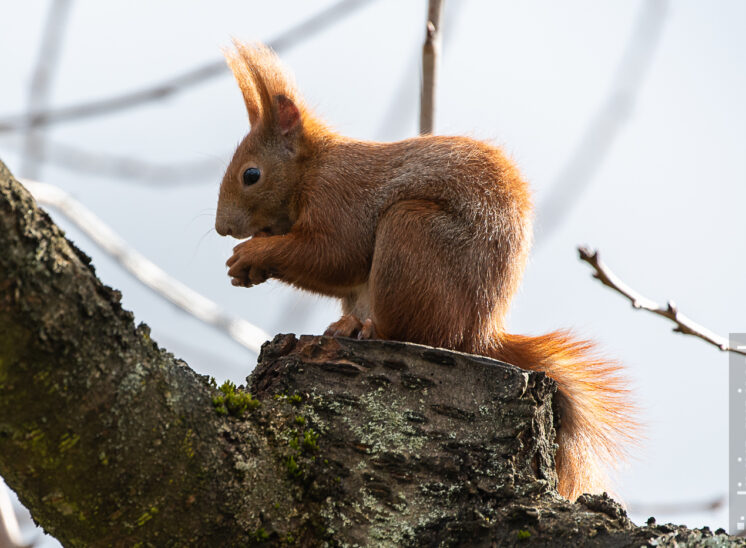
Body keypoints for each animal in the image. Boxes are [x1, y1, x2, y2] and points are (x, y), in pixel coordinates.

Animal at [214, 40, 632, 498]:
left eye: (251, 175)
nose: (222, 228)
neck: (313, 168)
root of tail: (480, 334)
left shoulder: (340, 197)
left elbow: (335, 254)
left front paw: (252, 255)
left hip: (410, 235)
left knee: (415, 330)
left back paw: (367, 330)